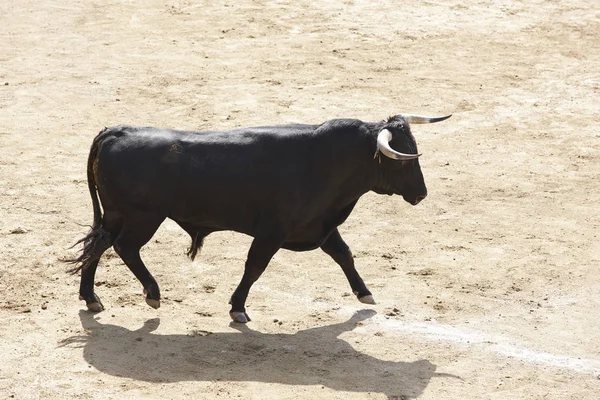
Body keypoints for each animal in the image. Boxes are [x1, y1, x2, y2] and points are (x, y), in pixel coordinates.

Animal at [67, 112, 450, 322]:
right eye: (402, 159)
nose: (421, 194)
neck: (325, 160)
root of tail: (116, 131)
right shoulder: (272, 232)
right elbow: (255, 266)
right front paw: (238, 308)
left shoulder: (318, 225)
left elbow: (344, 255)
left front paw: (365, 294)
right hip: (141, 218)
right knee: (124, 249)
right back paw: (151, 292)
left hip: (115, 216)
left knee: (95, 247)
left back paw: (91, 298)